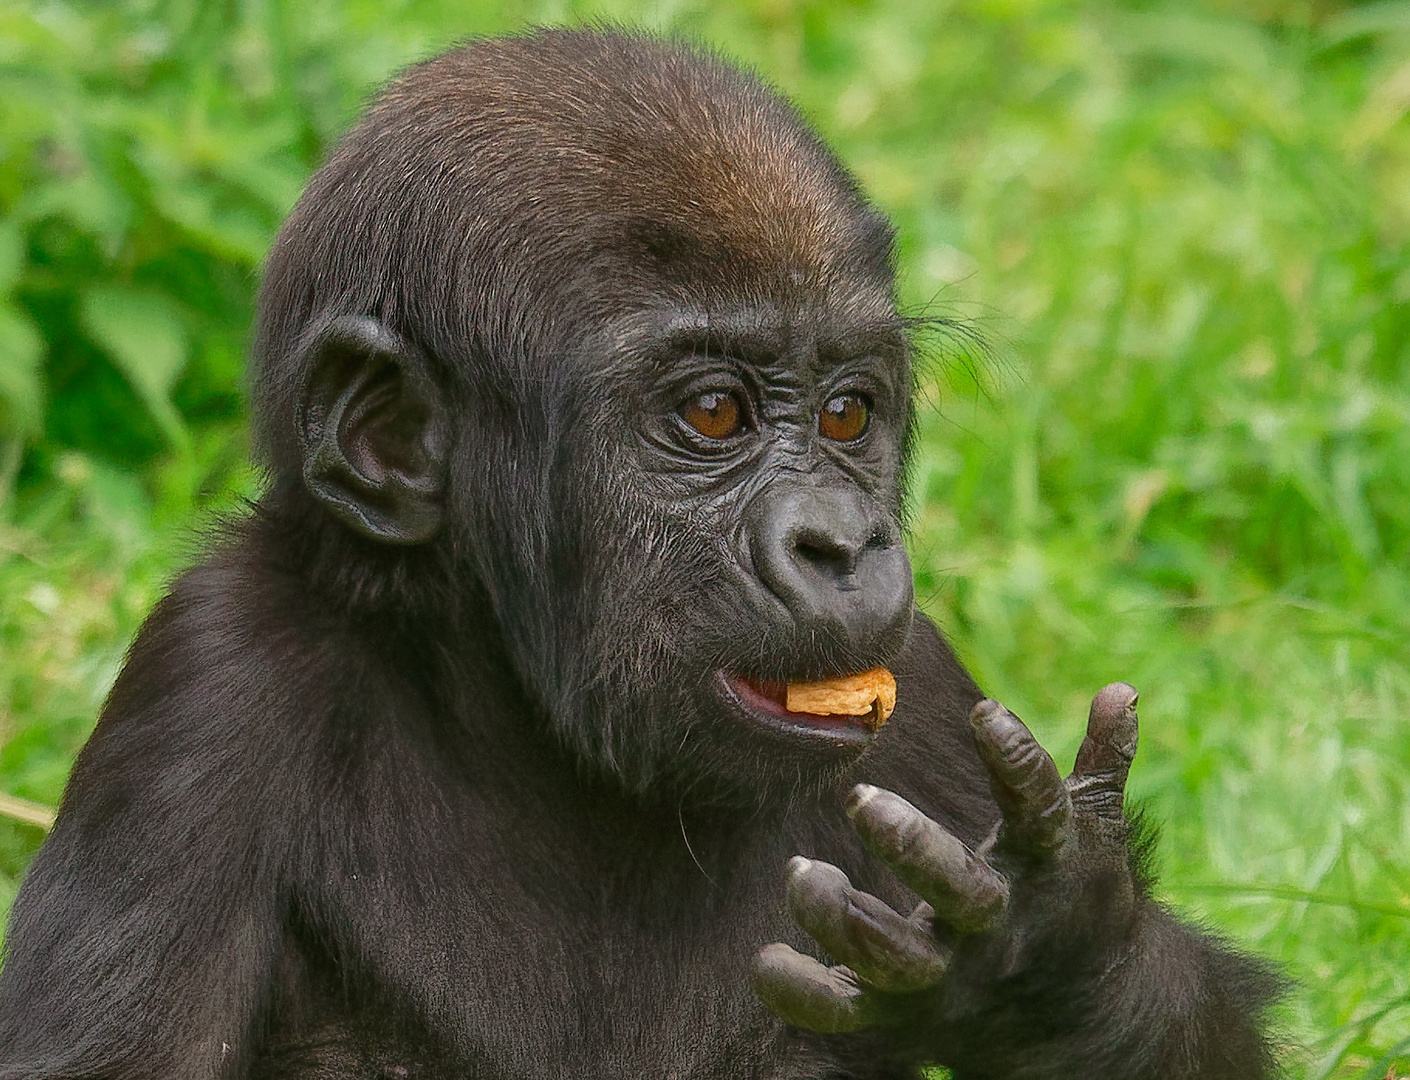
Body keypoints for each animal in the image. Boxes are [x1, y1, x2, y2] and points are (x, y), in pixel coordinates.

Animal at [0, 25, 1280, 1080]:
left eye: (848, 415)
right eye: (712, 413)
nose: (840, 542)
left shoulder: (923, 689)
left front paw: (1038, 952)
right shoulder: (207, 683)